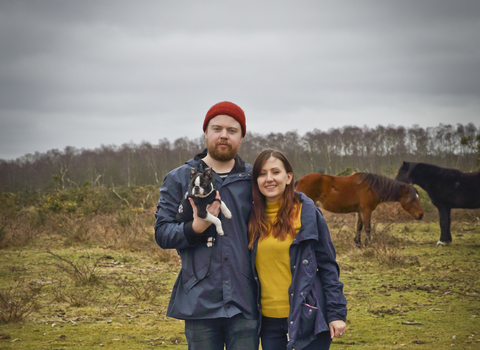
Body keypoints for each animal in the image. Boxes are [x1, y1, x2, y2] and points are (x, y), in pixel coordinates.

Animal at [296, 172, 424, 246]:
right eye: (413, 199)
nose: (421, 215)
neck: (372, 187)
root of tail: (299, 180)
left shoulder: (359, 211)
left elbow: (359, 227)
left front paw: (358, 244)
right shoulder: (366, 210)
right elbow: (367, 228)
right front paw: (369, 244)